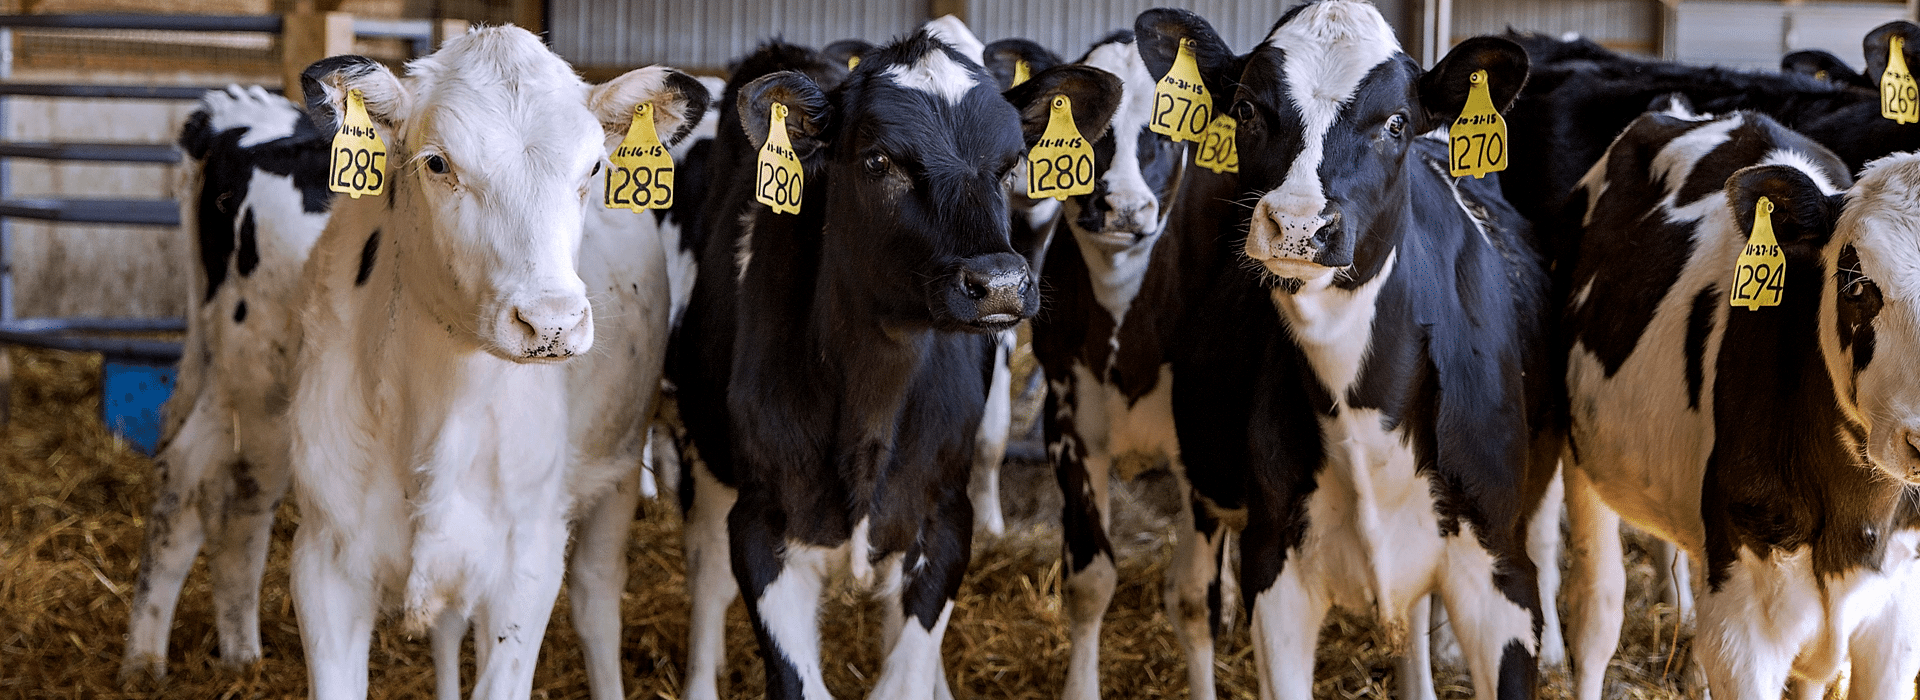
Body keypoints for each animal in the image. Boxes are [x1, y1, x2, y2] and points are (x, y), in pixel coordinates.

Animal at [285, 26, 706, 700]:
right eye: (437, 163)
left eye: (593, 166)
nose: (552, 320)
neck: (433, 411)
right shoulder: (323, 561)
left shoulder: (525, 567)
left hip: (615, 472)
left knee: (596, 603)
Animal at [667, 30, 1120, 700]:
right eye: (879, 162)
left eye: (1012, 163)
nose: (1001, 284)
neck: (871, 401)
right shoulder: (761, 526)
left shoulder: (943, 520)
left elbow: (906, 673)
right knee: (704, 573)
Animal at [1139, 4, 1561, 699]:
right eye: (1247, 108)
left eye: (1396, 122)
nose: (1299, 224)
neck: (1362, 408)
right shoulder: (1272, 567)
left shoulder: (1501, 572)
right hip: (1203, 475)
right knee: (1191, 602)